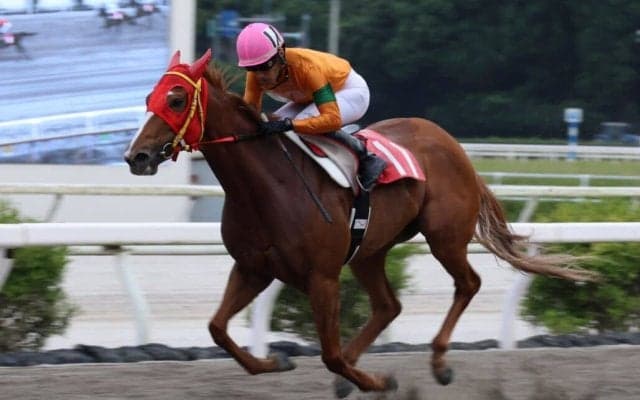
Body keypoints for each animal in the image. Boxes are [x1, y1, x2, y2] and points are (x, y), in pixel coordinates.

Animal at [124, 49, 597, 397]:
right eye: (149, 97)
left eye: (176, 99)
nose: (136, 156)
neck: (267, 186)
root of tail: (452, 143)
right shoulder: (253, 268)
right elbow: (218, 329)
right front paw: (275, 360)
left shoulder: (322, 276)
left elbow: (329, 353)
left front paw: (379, 381)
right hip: (369, 250)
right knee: (389, 305)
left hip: (444, 237)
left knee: (468, 284)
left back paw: (438, 362)